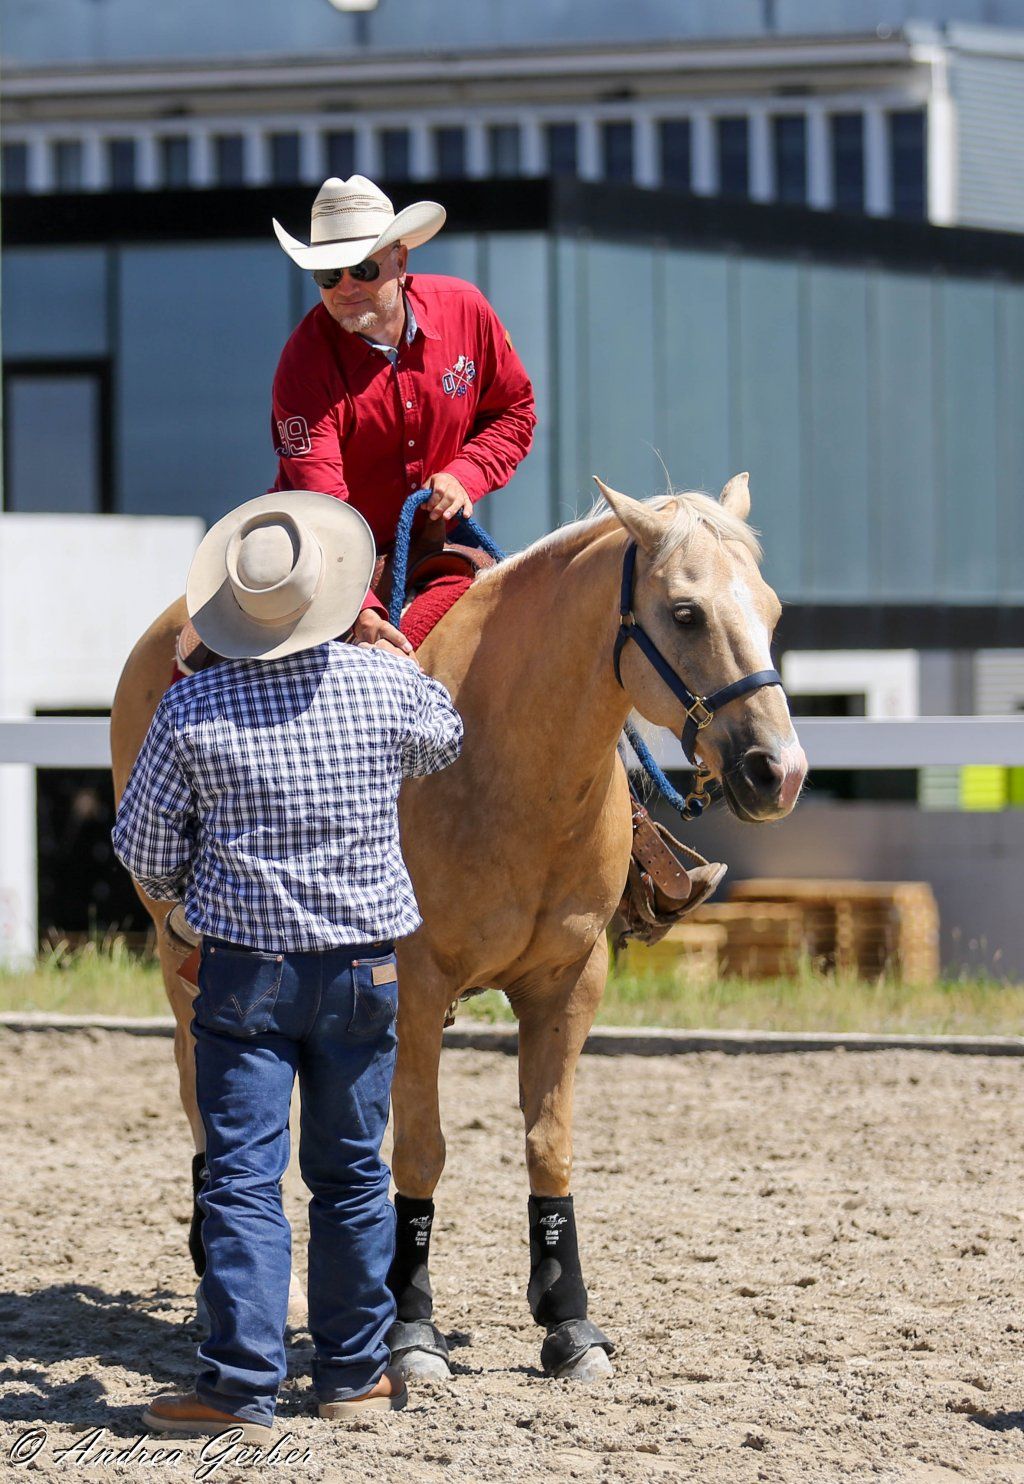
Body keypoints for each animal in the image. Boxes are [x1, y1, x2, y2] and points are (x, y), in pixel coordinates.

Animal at [110, 473, 807, 1383]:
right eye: (685, 612)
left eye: (772, 609)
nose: (778, 772)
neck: (505, 766)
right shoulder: (410, 982)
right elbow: (419, 1150)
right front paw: (412, 1328)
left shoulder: (570, 981)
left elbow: (549, 1143)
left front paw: (568, 1321)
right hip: (184, 951)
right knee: (203, 1093)